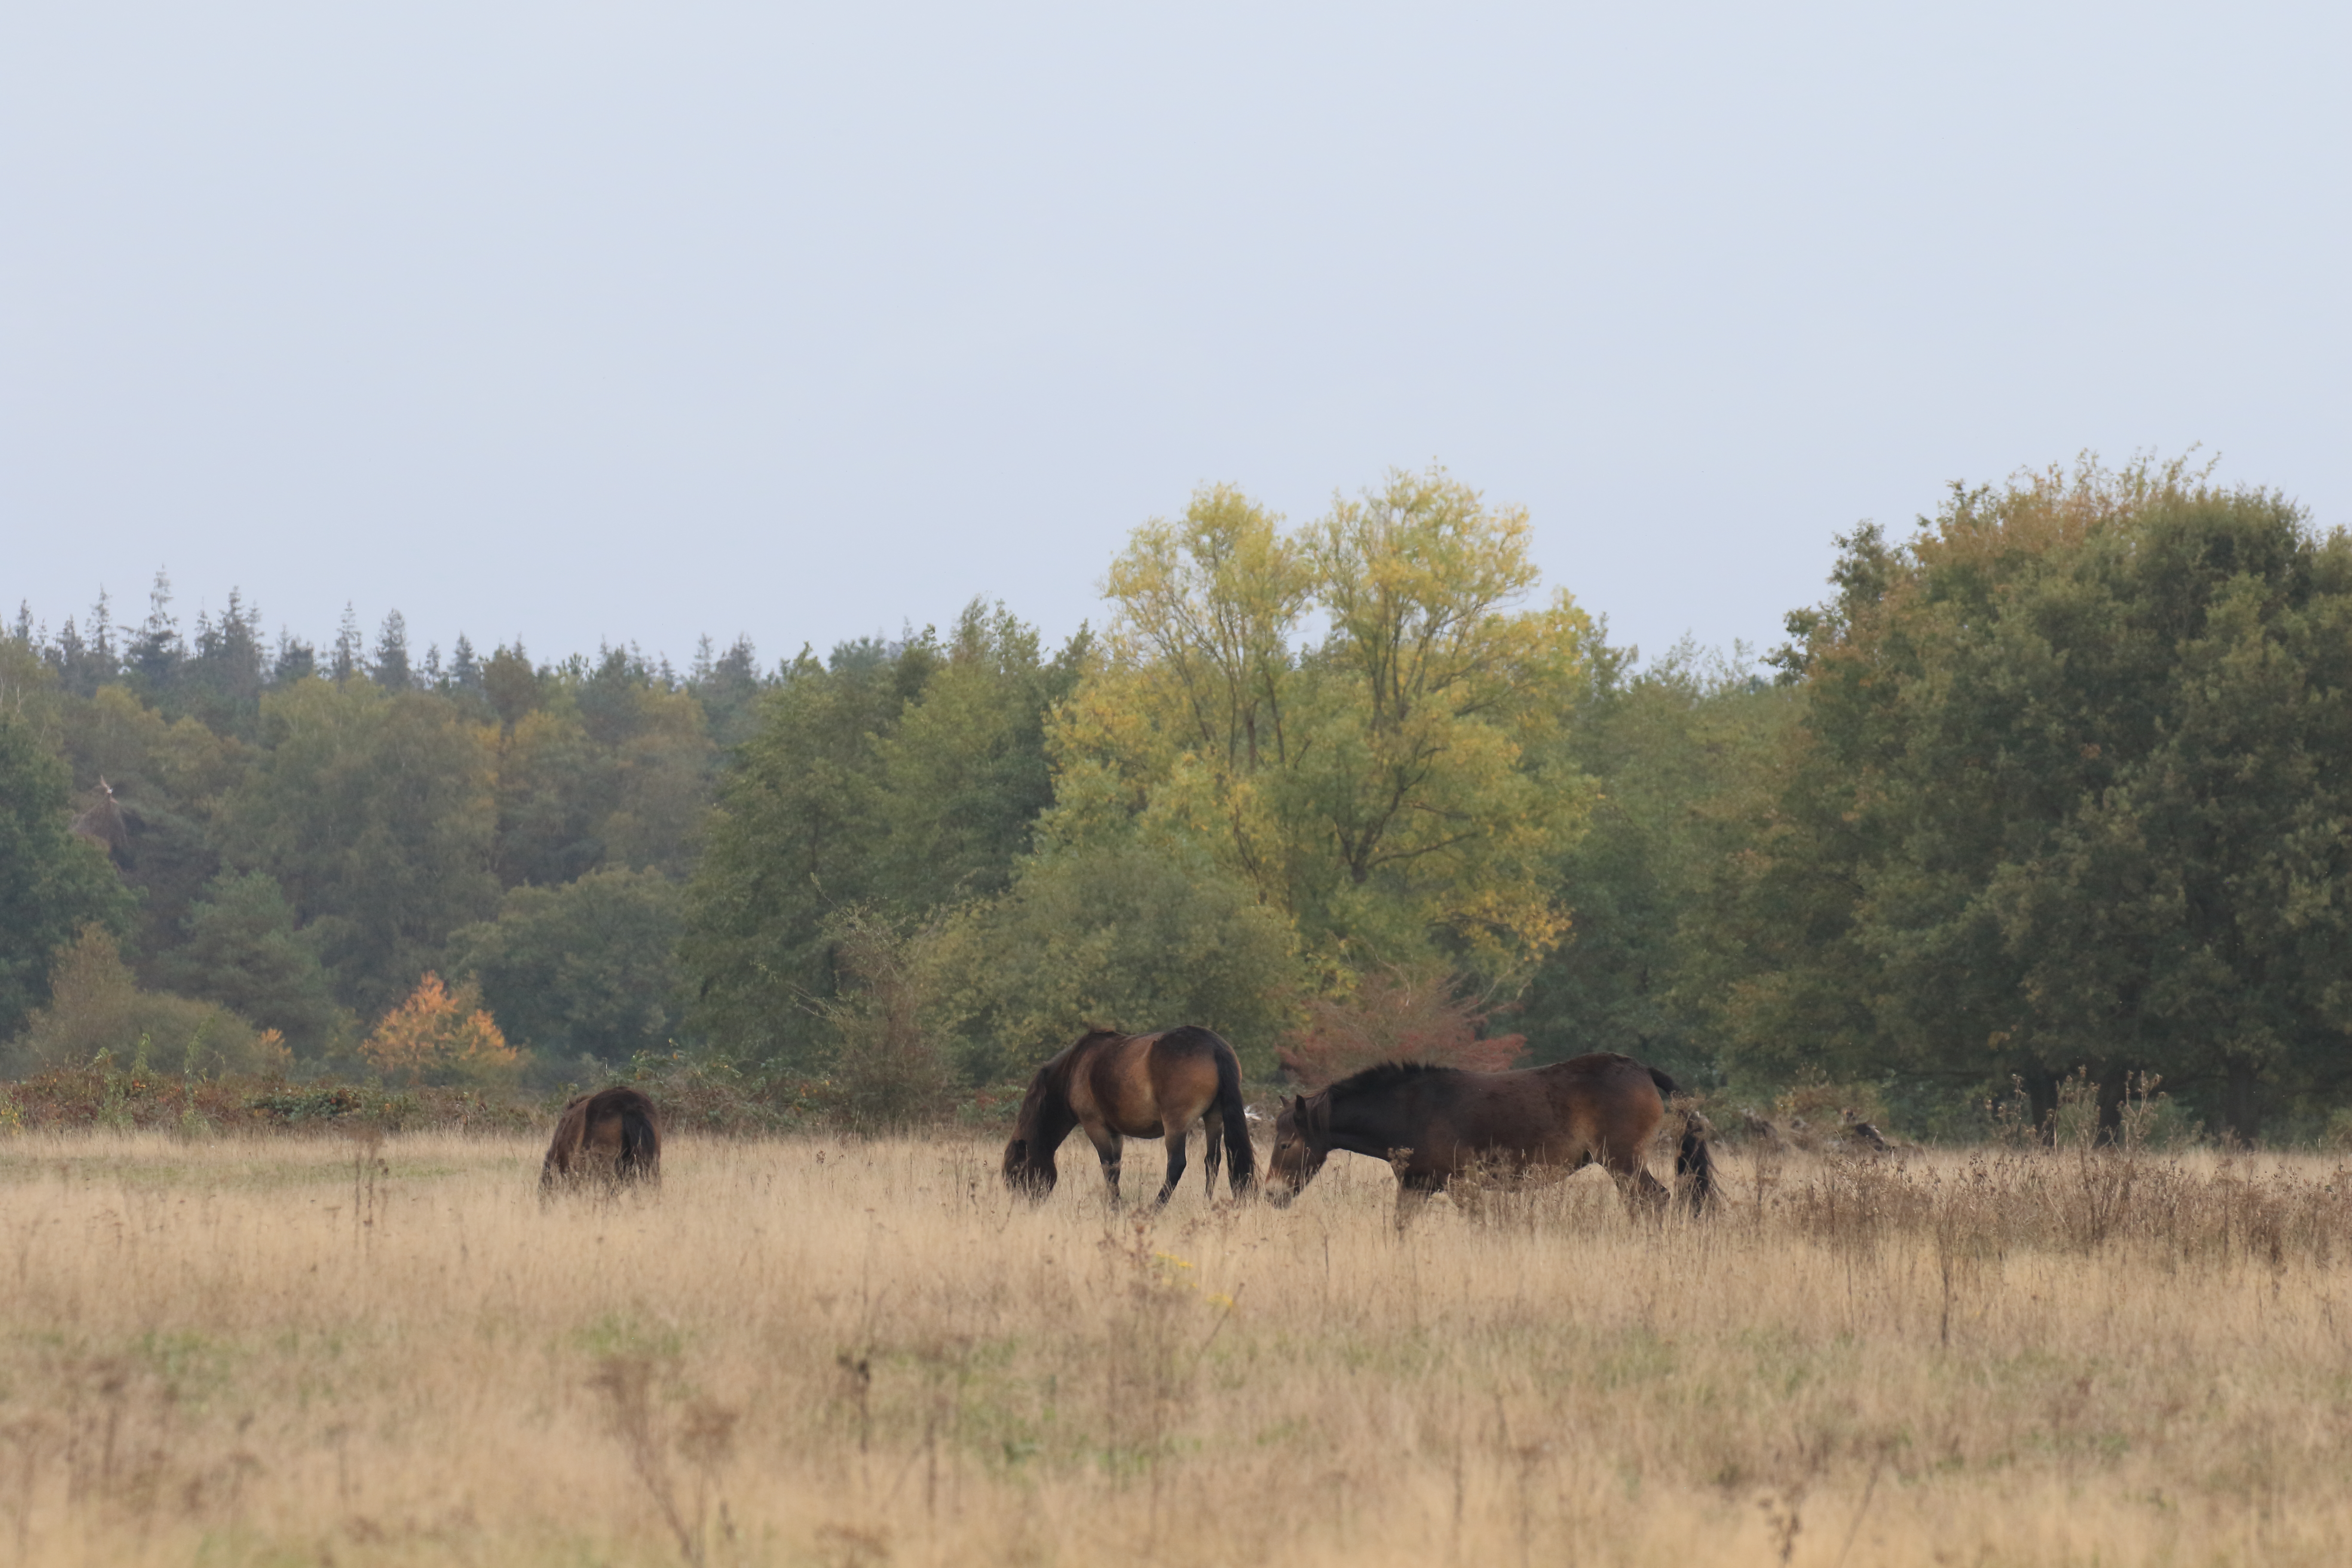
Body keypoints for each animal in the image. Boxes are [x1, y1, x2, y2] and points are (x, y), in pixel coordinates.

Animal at [1001, 1026, 1257, 1206]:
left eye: (1018, 1174)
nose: (1025, 1207)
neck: (1072, 1070)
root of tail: (1214, 1047)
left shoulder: (1095, 1126)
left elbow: (1108, 1168)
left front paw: (1116, 1208)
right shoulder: (1116, 1132)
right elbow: (1116, 1168)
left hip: (1175, 1124)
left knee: (1177, 1164)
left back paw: (1155, 1208)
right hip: (1214, 1116)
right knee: (1212, 1161)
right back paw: (1206, 1204)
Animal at [1264, 1053, 1714, 1226]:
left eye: (1286, 1145)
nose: (1270, 1194)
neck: (1410, 1109)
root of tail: (1642, 1070)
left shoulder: (1462, 1186)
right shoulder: (1416, 1186)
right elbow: (1400, 1226)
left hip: (1623, 1162)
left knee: (1653, 1200)